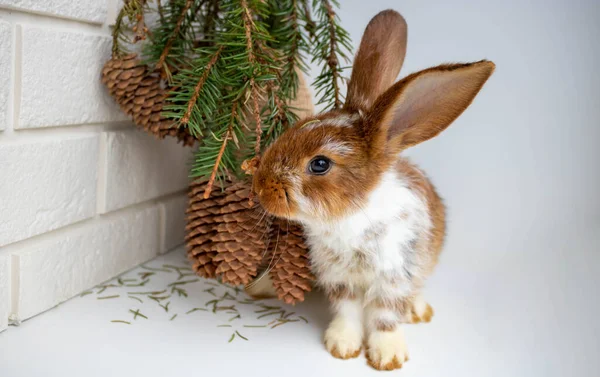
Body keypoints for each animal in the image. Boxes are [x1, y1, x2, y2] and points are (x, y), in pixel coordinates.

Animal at [251, 8, 494, 370]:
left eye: (319, 164)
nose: (260, 187)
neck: (351, 218)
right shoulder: (340, 280)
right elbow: (347, 312)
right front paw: (342, 347)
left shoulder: (395, 277)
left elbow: (384, 318)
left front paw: (388, 357)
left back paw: (419, 311)